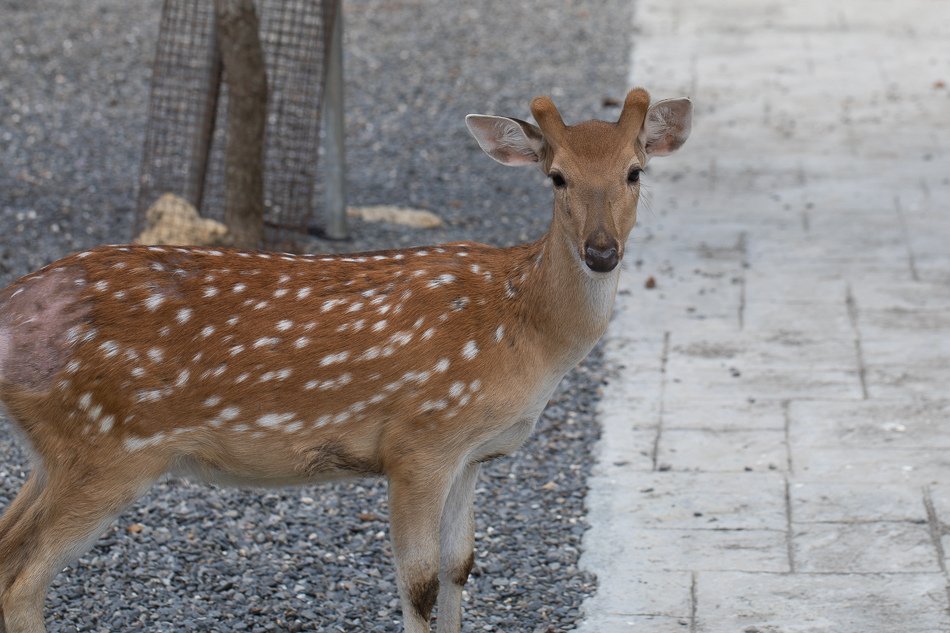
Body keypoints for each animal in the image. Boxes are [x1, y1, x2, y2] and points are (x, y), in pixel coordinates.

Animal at [0, 90, 688, 632]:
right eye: (557, 177)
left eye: (634, 172)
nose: (601, 251)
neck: (524, 335)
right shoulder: (418, 441)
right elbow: (419, 585)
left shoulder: (471, 454)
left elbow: (460, 567)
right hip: (107, 445)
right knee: (24, 577)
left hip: (58, 452)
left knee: (8, 547)